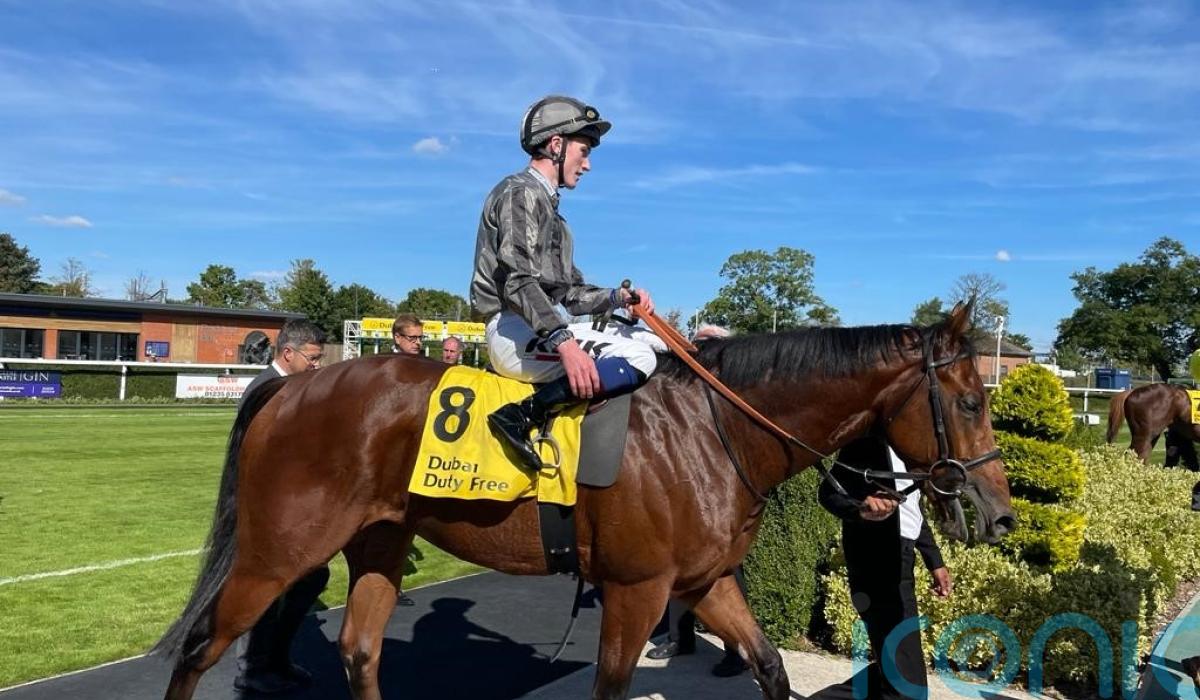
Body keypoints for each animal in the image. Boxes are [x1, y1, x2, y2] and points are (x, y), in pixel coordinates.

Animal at [156, 302, 1014, 700]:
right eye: (973, 400)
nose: (1001, 513)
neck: (716, 427)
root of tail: (290, 388)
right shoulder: (637, 591)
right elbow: (611, 686)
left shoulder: (706, 581)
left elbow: (769, 666)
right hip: (277, 551)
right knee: (199, 650)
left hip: (380, 541)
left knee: (360, 652)